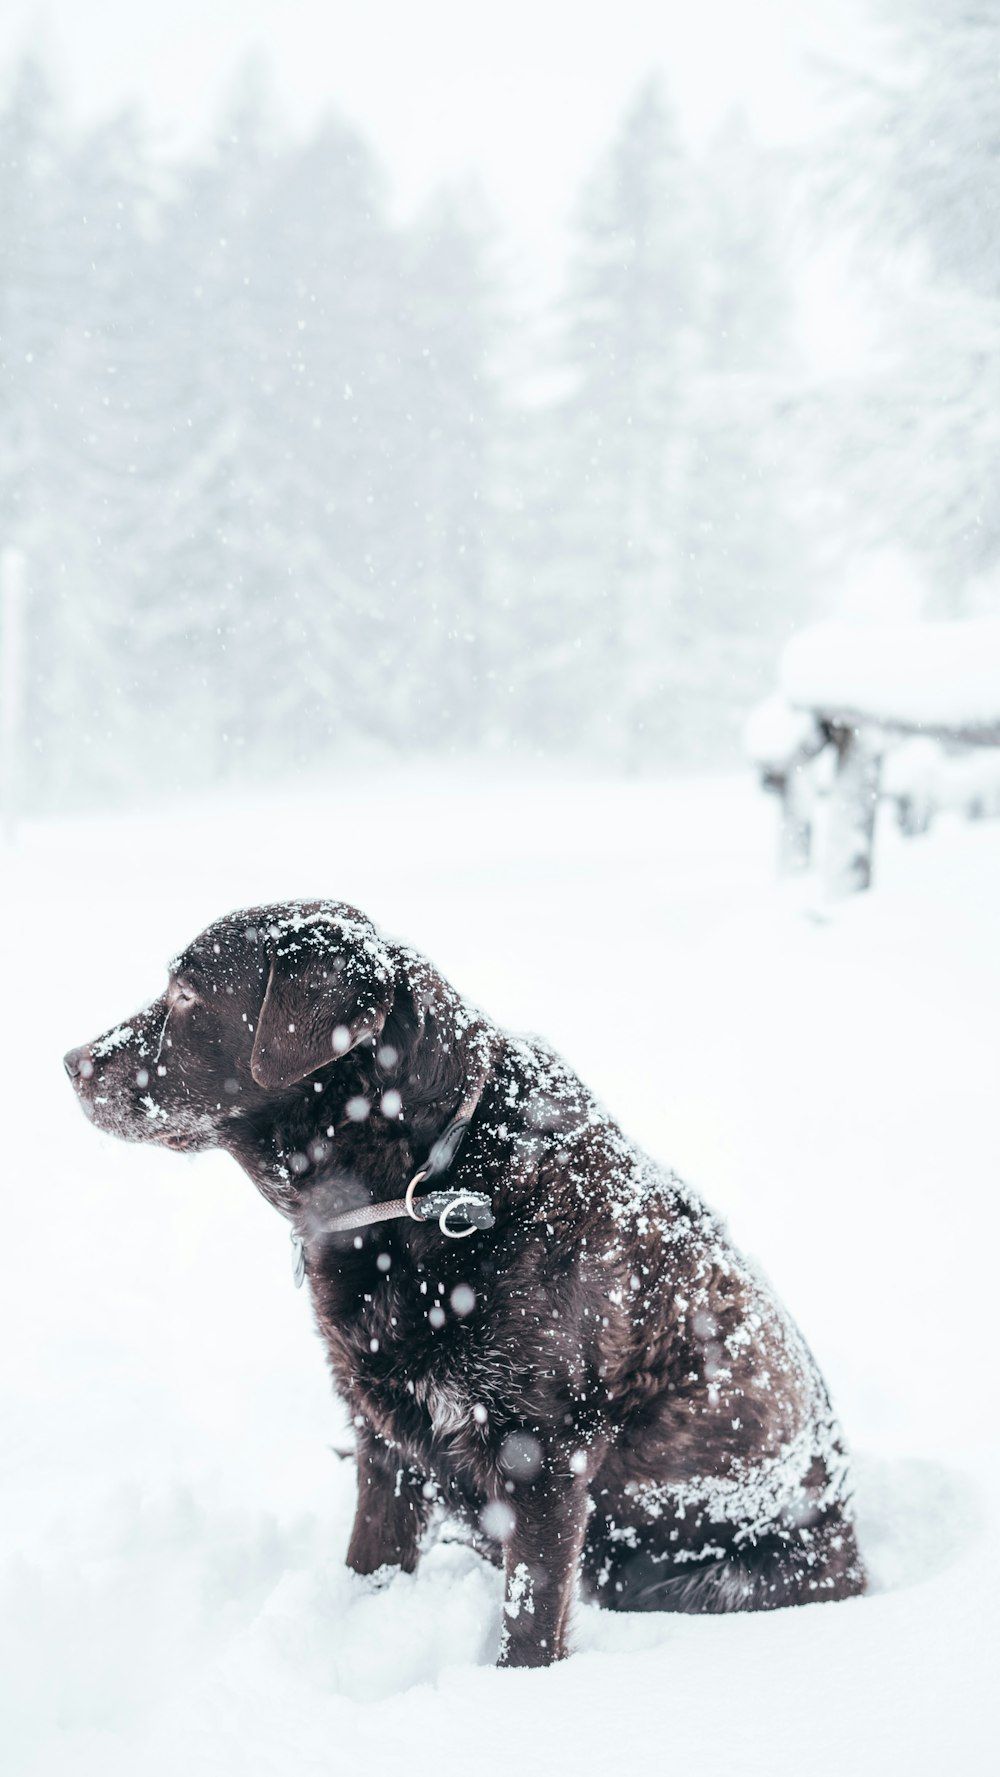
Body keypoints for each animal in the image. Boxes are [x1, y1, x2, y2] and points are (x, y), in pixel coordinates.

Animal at [62, 902, 863, 1663]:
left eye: (186, 995)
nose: (71, 1061)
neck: (429, 1180)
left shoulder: (544, 1456)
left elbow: (530, 1622)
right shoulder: (382, 1438)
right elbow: (371, 1560)